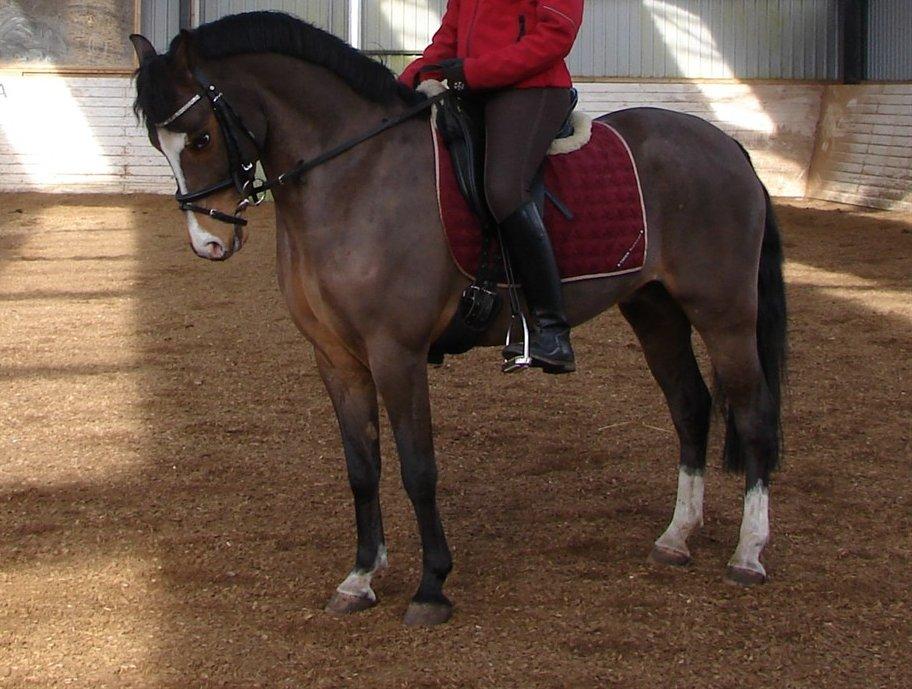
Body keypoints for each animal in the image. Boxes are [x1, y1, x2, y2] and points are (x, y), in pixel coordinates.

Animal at [130, 11, 787, 627]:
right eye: (158, 144)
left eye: (200, 138)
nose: (209, 243)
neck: (356, 177)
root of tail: (726, 145)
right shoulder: (336, 358)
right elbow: (362, 468)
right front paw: (360, 578)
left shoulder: (396, 353)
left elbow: (418, 468)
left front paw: (431, 587)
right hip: (654, 308)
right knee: (690, 405)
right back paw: (676, 537)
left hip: (725, 312)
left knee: (753, 414)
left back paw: (748, 553)